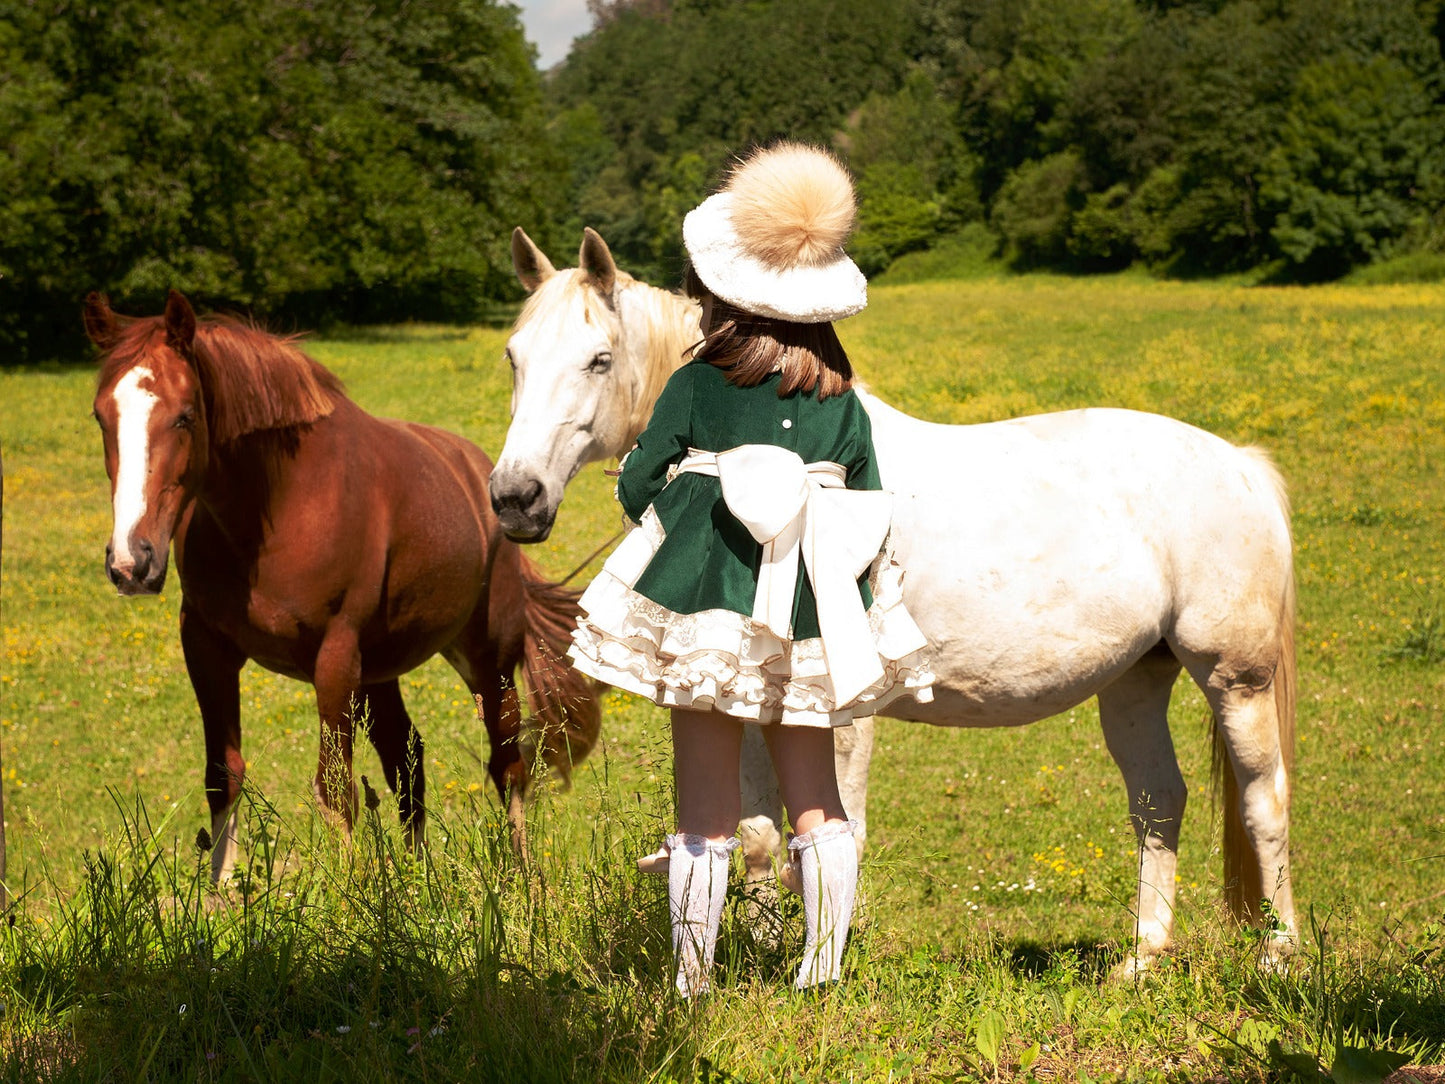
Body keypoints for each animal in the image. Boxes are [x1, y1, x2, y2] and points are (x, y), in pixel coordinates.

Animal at [85, 290, 598, 884]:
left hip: (485, 659)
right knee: (406, 758)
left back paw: (520, 882)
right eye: (100, 415)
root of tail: (490, 483)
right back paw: (417, 882)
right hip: (379, 670)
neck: (277, 508)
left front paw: (350, 898)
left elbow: (334, 790)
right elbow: (223, 776)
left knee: (508, 762)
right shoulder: (206, 646)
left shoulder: (333, 660)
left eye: (185, 416)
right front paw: (220, 899)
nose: (132, 561)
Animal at [497, 229, 1300, 977]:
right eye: (513, 356)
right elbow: (758, 833)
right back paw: (1142, 956)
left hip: (1234, 680)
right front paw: (758, 953)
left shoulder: (841, 718)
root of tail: (1239, 464)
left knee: (1264, 801)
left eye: (599, 359)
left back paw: (1278, 956)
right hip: (1135, 681)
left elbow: (837, 829)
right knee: (1159, 801)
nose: (514, 497)